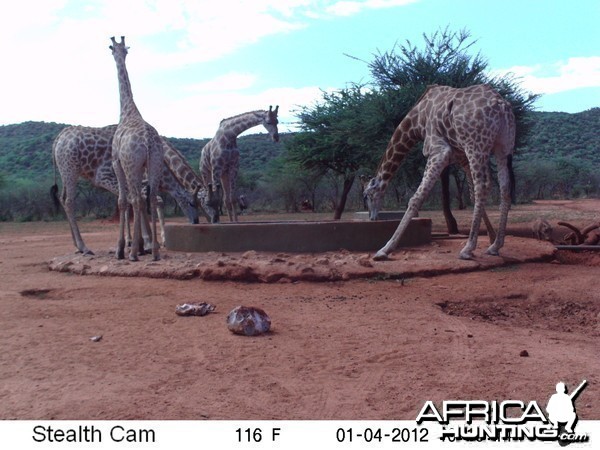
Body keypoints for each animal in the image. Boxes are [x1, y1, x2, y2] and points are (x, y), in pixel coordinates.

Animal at [49, 125, 199, 255]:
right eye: (191, 203)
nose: (196, 221)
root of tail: (58, 140)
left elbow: (136, 202)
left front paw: (142, 243)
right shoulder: (109, 177)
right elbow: (138, 202)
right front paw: (147, 243)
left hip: (66, 172)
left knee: (63, 198)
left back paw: (76, 245)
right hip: (71, 169)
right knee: (69, 202)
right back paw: (83, 247)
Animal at [364, 84, 512, 260]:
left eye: (368, 195)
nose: (372, 218)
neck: (417, 120)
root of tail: (501, 105)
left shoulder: (438, 151)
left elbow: (415, 199)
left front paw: (385, 249)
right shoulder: (461, 156)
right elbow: (471, 194)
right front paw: (491, 237)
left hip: (475, 145)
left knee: (482, 186)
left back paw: (468, 248)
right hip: (501, 147)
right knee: (504, 188)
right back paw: (496, 245)